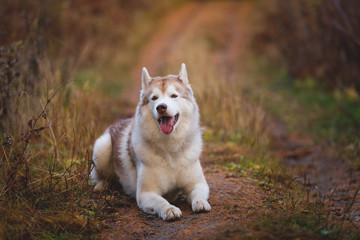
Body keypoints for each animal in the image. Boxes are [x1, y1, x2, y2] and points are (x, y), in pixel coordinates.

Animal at [89, 63, 211, 219]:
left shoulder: (198, 183)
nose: (161, 107)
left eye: (173, 96)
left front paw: (200, 203)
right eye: (154, 98)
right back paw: (102, 185)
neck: (170, 149)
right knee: (99, 176)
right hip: (102, 147)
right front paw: (169, 209)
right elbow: (161, 201)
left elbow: (198, 193)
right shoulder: (146, 194)